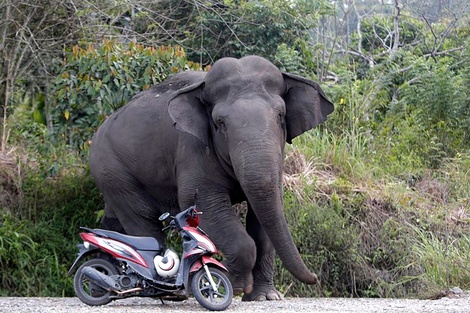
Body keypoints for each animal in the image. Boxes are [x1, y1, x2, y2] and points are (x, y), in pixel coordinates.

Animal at [89, 55, 334, 300]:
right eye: (220, 123)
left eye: (280, 115)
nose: (315, 278)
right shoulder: (192, 149)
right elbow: (203, 204)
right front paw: (235, 287)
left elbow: (265, 213)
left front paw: (264, 296)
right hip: (114, 172)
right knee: (144, 224)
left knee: (115, 223)